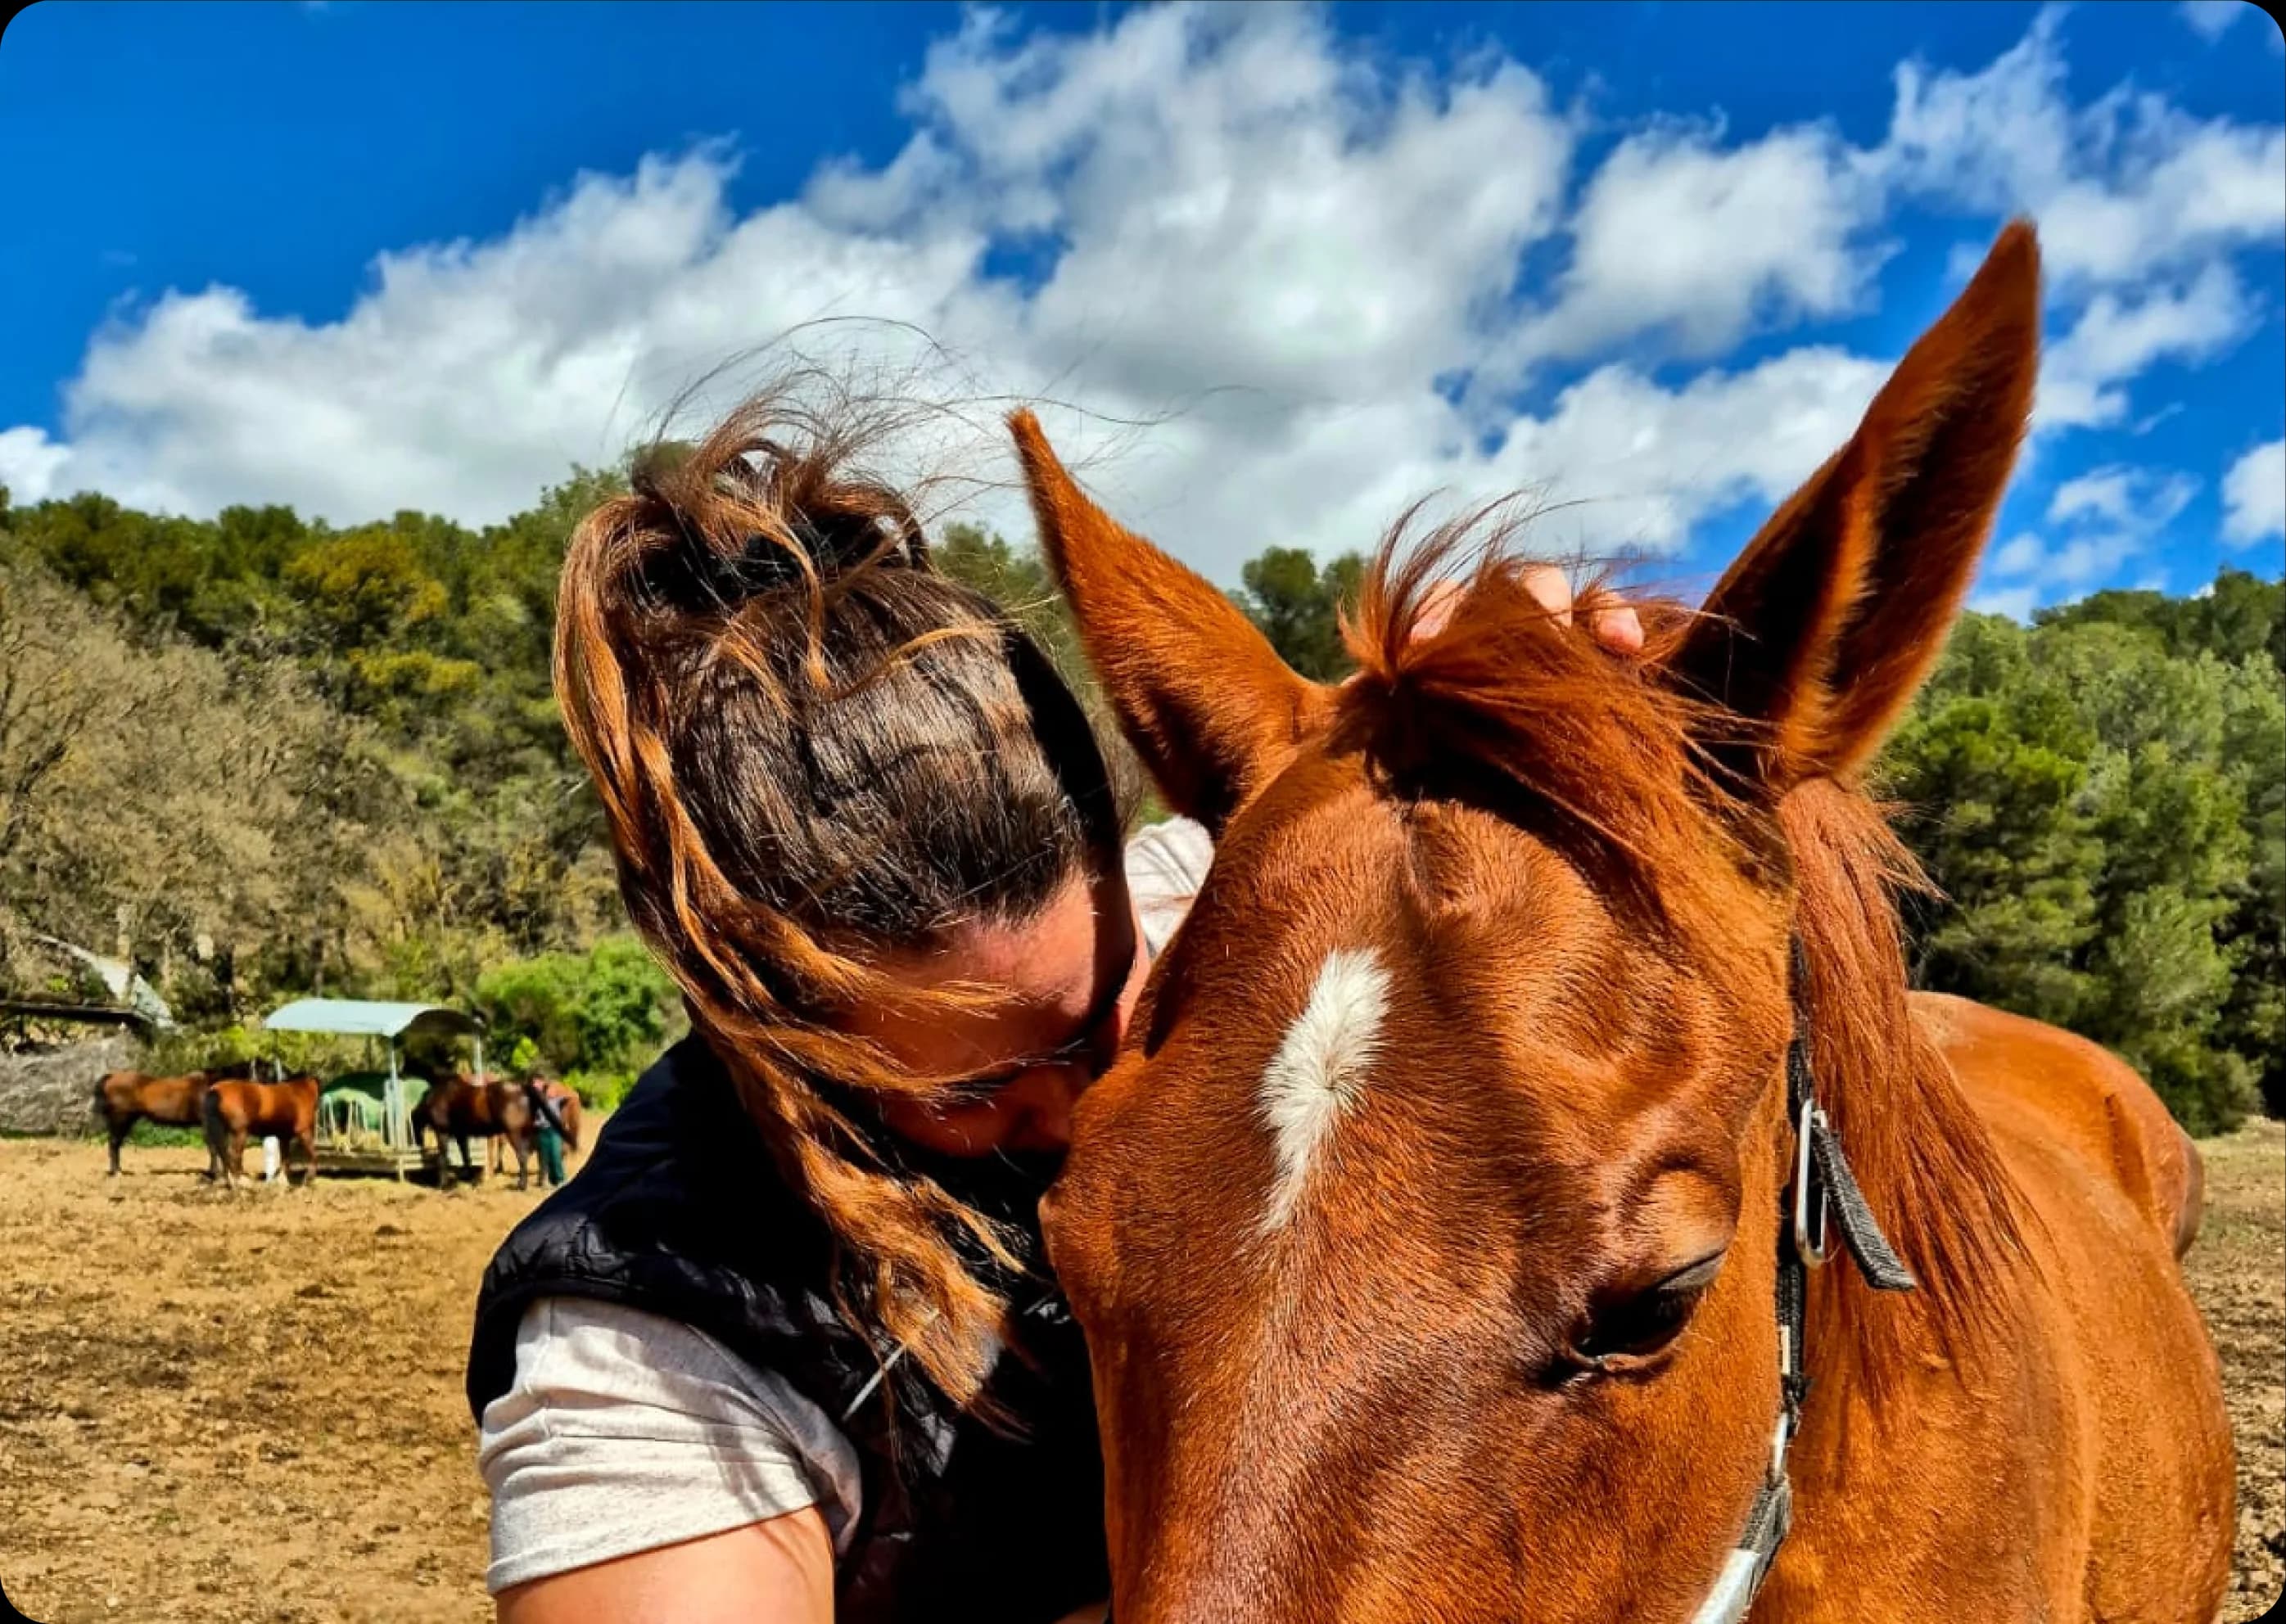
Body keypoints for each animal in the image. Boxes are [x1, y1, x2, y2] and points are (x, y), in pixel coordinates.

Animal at [202, 1074, 320, 1191]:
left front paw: (283, 1182)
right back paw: (239, 1182)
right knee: (233, 1154)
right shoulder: (304, 1132)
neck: (300, 1092)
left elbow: (285, 1158)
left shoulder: (284, 1136)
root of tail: (216, 1090)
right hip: (240, 1133)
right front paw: (309, 1179)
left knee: (220, 1152)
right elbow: (312, 1154)